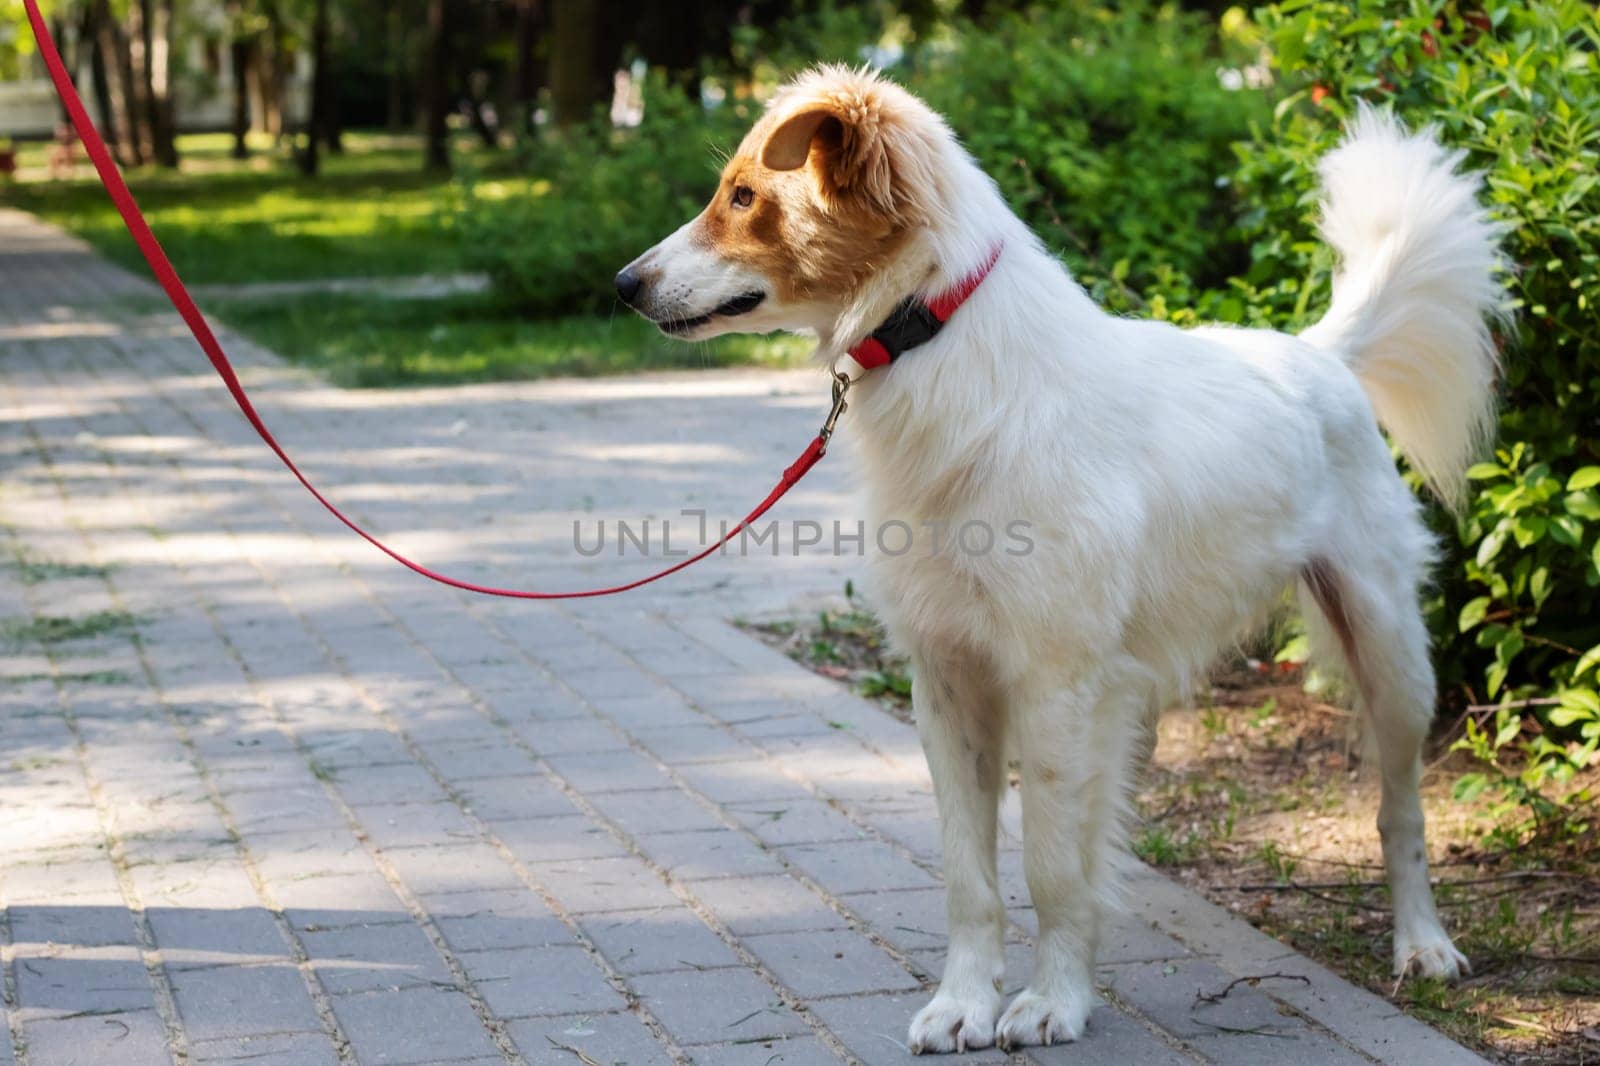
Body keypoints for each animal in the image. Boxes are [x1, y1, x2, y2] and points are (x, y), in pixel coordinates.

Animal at [614, 68, 1497, 1056]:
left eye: (742, 196)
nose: (622, 284)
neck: (950, 351)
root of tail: (1317, 354)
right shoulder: (947, 678)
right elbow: (970, 875)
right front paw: (965, 1001)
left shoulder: (1056, 683)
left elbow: (1047, 865)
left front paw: (1054, 1000)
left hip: (1391, 652)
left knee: (1401, 807)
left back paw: (1423, 943)